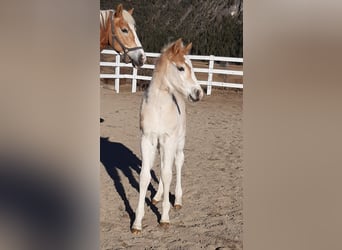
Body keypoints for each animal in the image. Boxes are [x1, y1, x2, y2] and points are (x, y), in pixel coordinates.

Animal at [131, 38, 203, 233]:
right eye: (181, 68)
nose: (199, 93)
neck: (158, 107)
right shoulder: (147, 140)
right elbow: (145, 176)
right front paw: (137, 222)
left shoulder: (168, 139)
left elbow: (167, 174)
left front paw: (164, 218)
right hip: (160, 145)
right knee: (165, 166)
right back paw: (157, 196)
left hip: (177, 142)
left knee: (176, 165)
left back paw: (177, 201)